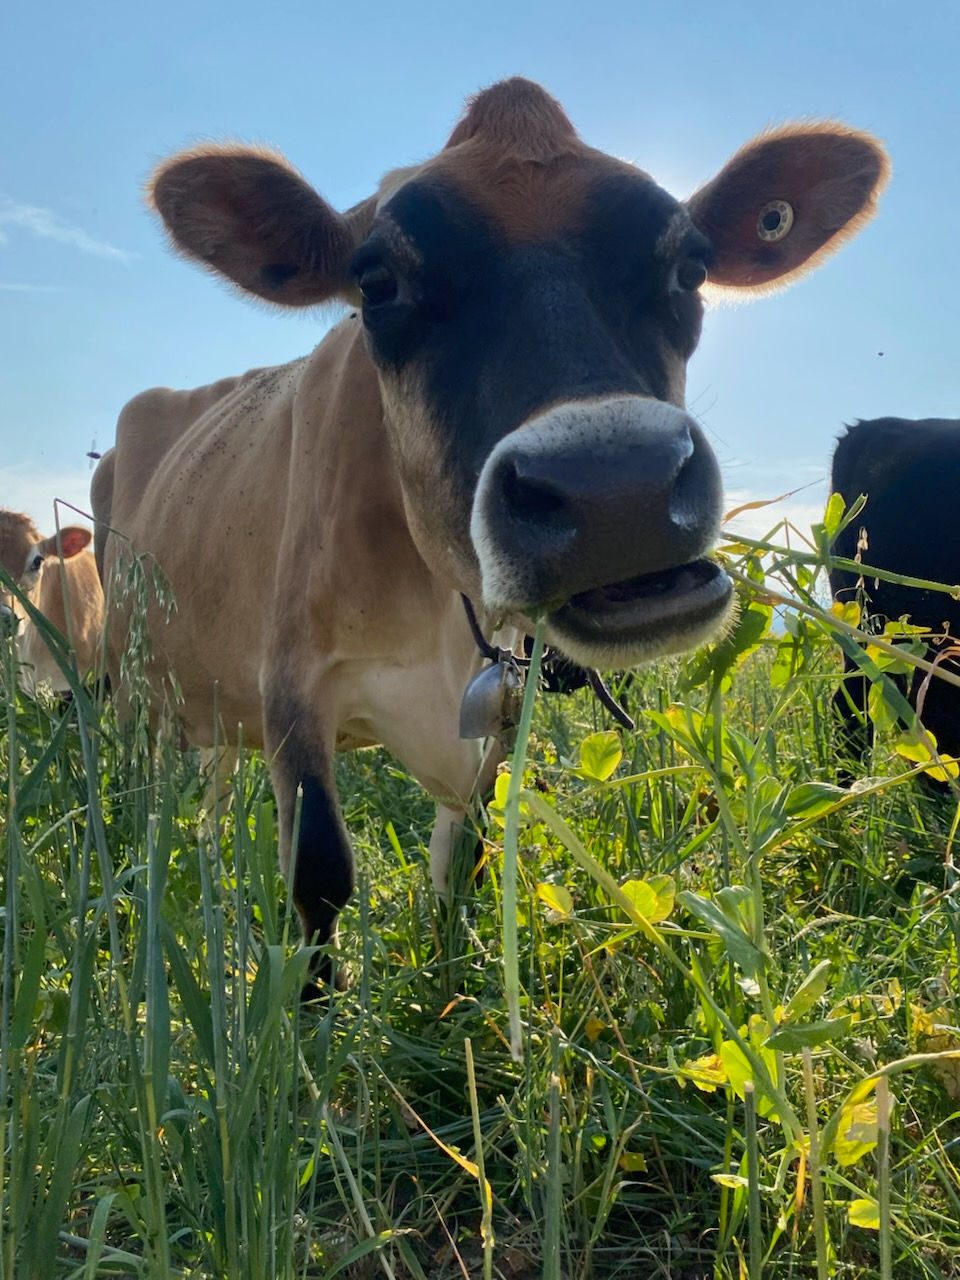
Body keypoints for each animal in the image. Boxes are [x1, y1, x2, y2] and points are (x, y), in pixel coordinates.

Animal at [93, 78, 889, 978]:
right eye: (376, 281)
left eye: (689, 265)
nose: (617, 488)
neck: (441, 608)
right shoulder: (292, 685)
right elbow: (319, 874)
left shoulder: (495, 709)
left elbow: (465, 856)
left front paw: (447, 978)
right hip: (132, 692)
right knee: (137, 807)